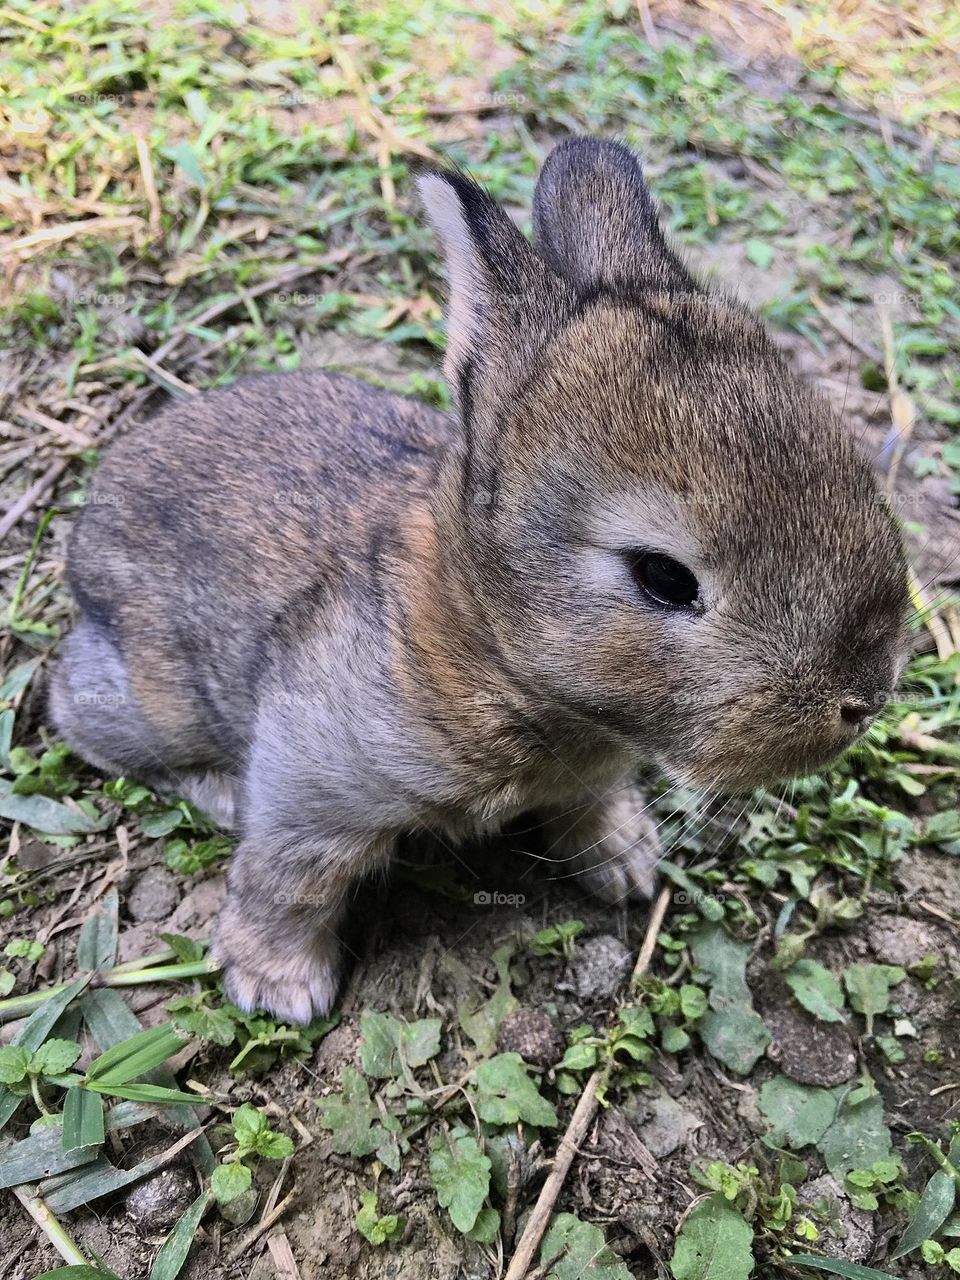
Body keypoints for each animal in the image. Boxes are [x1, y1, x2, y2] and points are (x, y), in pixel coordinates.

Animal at [50, 138, 910, 1024]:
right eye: (664, 579)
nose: (865, 699)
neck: (492, 645)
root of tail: (93, 518)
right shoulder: (311, 783)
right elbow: (292, 877)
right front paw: (278, 987)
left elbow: (591, 803)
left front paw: (627, 864)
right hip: (149, 699)